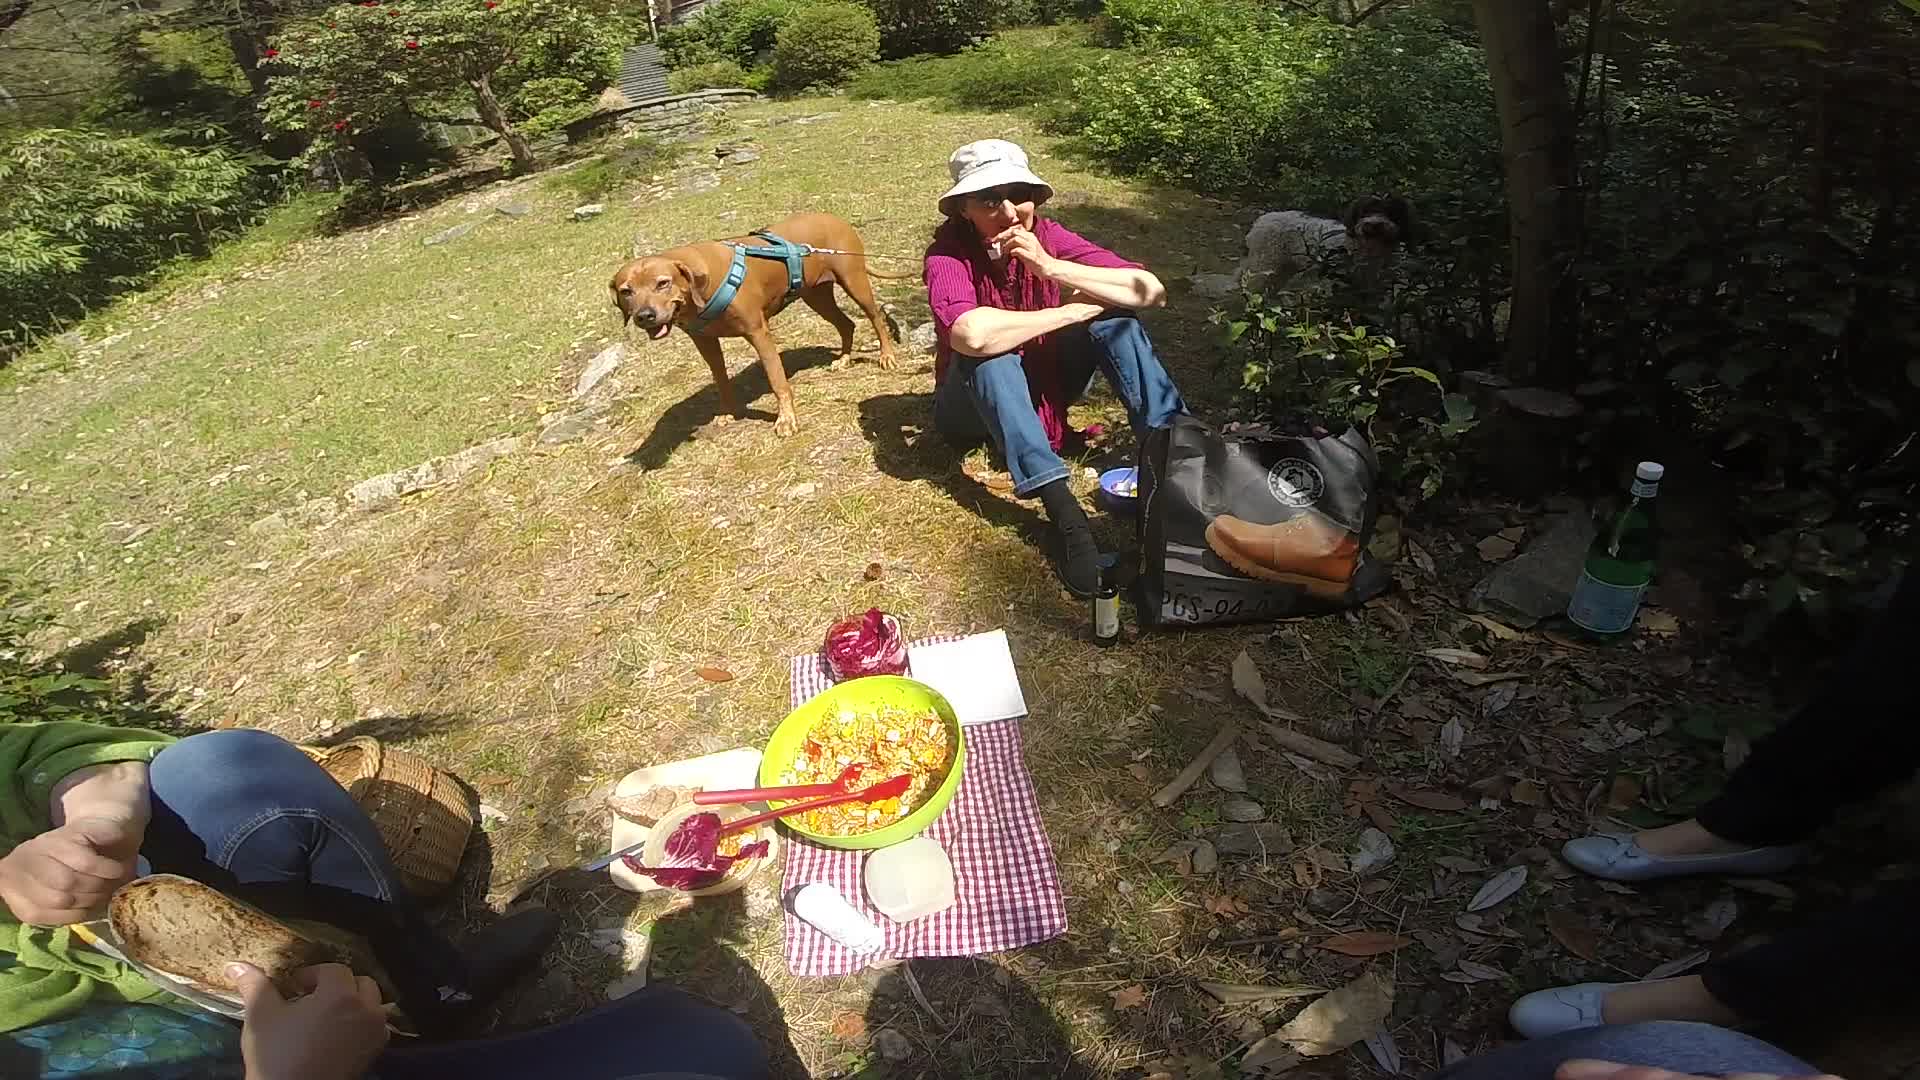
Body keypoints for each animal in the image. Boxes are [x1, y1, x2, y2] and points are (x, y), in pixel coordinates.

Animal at [614, 212, 913, 434]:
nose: (644, 316)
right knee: (846, 324)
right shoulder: (706, 342)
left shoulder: (758, 333)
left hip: (854, 282)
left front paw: (786, 419)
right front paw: (727, 411)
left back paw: (887, 356)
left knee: (875, 317)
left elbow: (777, 380)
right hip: (816, 296)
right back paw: (844, 359)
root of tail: (834, 218)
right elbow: (720, 378)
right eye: (625, 291)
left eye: (662, 283)